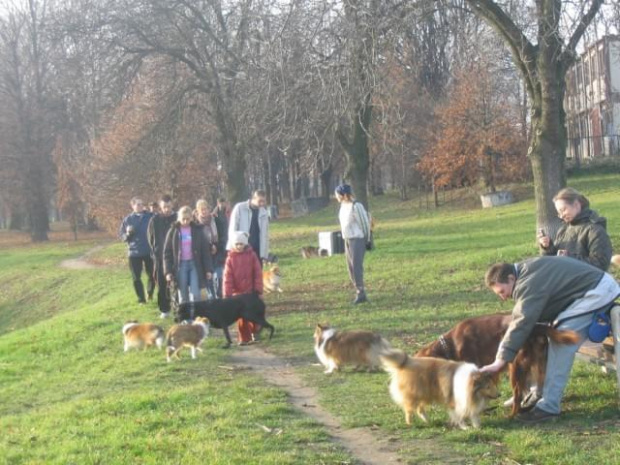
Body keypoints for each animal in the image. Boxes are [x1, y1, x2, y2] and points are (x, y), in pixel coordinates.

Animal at [416, 314, 580, 416]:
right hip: (538, 364)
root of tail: (537, 327)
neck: (451, 346)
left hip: (515, 366)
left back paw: (512, 416)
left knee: (518, 397)